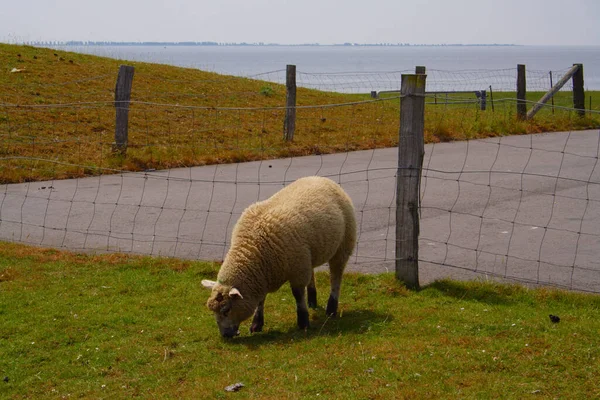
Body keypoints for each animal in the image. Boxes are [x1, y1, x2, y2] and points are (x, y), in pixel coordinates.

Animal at [202, 177, 356, 336]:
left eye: (226, 310)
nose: (225, 336)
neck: (253, 249)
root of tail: (320, 178)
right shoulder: (264, 275)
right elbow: (261, 300)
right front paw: (257, 324)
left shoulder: (297, 270)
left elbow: (298, 295)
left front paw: (303, 322)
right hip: (309, 254)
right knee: (313, 271)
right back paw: (312, 300)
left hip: (343, 245)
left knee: (336, 276)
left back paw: (331, 308)